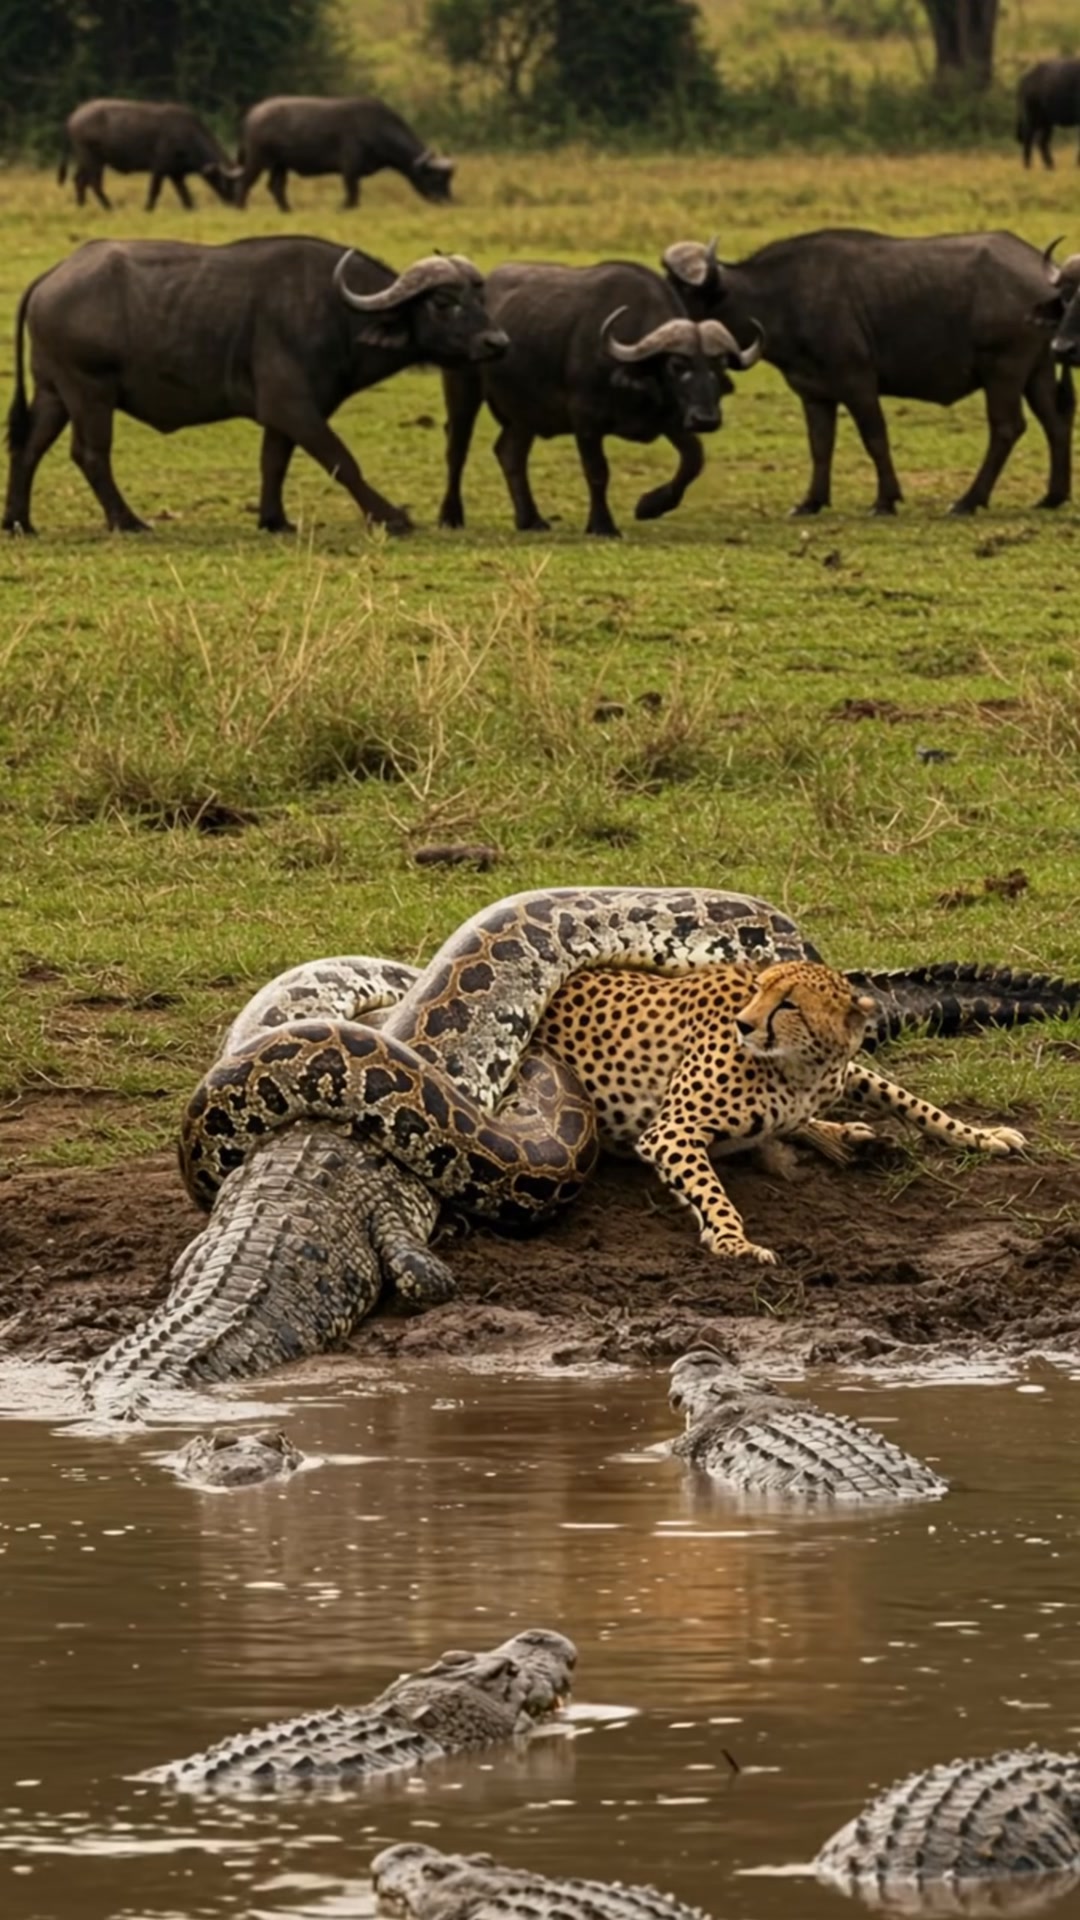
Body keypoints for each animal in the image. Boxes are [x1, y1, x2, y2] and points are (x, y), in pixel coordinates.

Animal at [531, 958, 1027, 1264]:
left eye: (789, 1003)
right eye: (759, 990)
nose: (743, 1024)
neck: (800, 1068)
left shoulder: (843, 1072)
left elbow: (912, 1101)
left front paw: (982, 1136)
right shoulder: (671, 1129)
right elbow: (712, 1193)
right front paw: (735, 1242)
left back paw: (846, 1138)